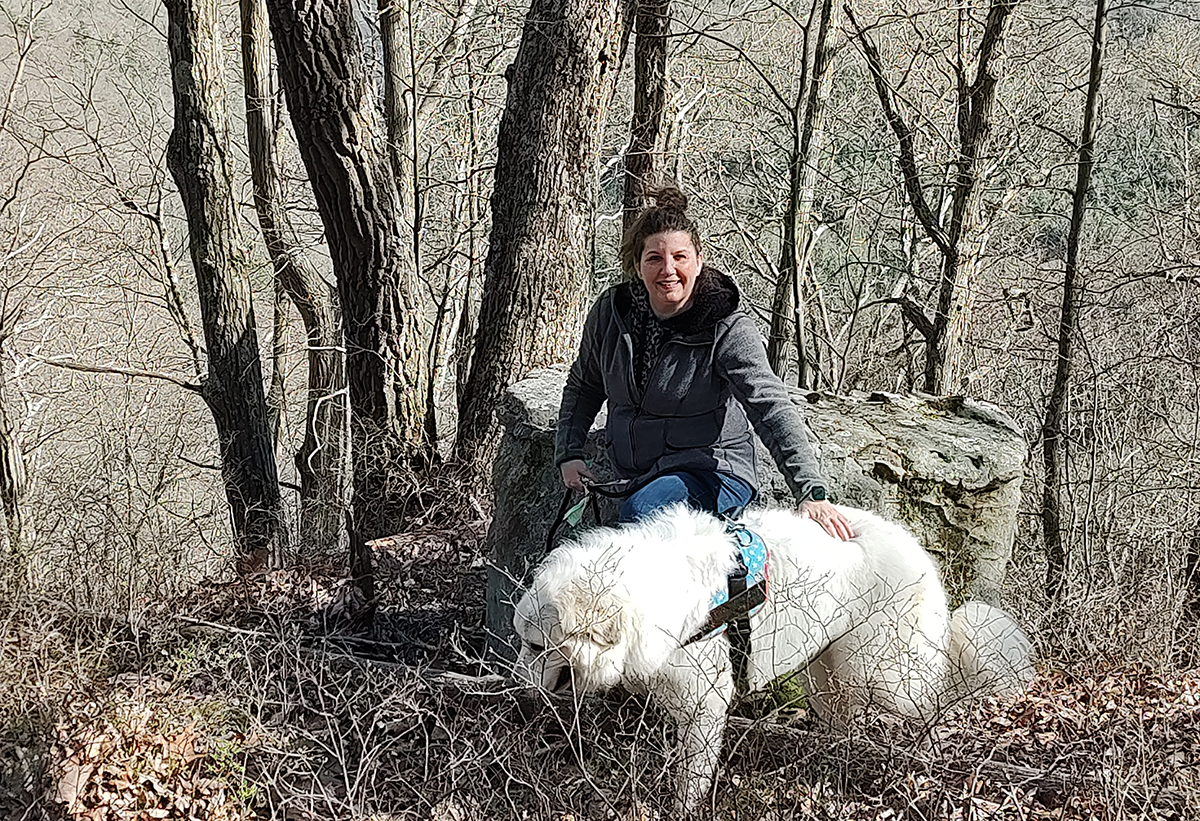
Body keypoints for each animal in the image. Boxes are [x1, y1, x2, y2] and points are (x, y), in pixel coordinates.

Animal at [508, 504, 1032, 811]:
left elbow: (689, 782)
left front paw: (679, 809)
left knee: (934, 699)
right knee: (842, 721)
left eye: (535, 646)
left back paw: (927, 754)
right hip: (827, 674)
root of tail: (917, 550)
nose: (516, 693)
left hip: (885, 673)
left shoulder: (705, 705)